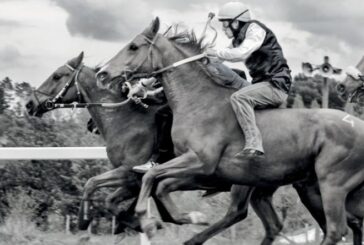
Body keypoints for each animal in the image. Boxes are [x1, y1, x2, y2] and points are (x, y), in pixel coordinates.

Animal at [96, 17, 364, 245]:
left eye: (133, 46)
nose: (102, 73)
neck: (199, 102)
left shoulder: (201, 162)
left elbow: (151, 177)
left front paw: (151, 221)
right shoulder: (191, 169)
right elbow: (159, 185)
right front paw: (188, 218)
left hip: (331, 184)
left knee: (336, 229)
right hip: (311, 188)